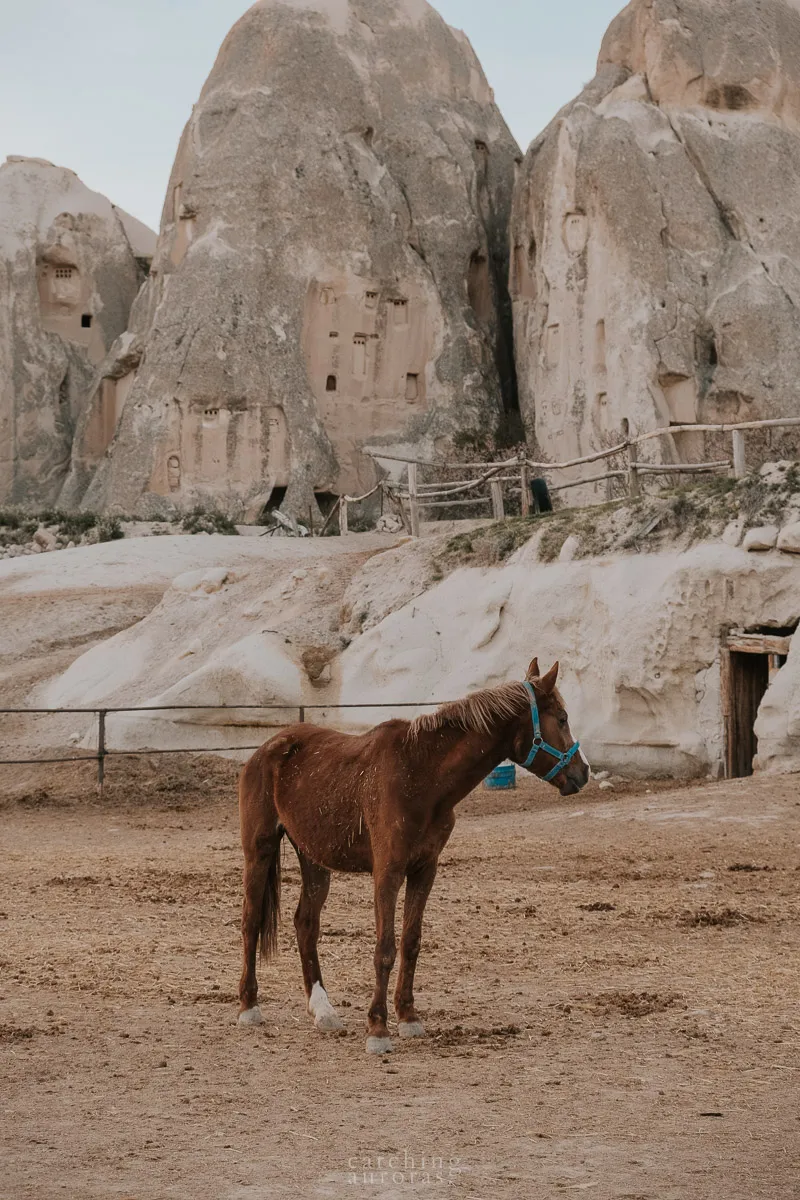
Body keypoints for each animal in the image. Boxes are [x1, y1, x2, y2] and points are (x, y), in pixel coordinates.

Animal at [237, 658, 589, 1054]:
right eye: (562, 718)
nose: (583, 772)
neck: (421, 776)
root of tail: (266, 749)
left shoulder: (424, 870)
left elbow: (411, 942)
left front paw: (407, 1016)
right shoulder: (388, 872)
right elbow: (386, 948)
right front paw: (377, 1028)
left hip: (314, 859)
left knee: (305, 924)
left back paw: (323, 1010)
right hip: (259, 850)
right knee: (251, 921)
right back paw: (249, 1006)